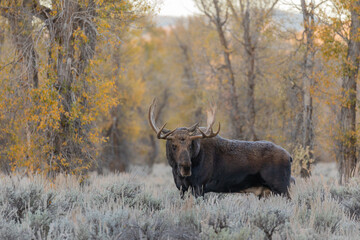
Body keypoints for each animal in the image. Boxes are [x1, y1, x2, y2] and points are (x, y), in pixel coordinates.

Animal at [148, 98, 292, 198]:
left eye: (190, 145)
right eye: (173, 146)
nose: (186, 167)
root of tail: (290, 157)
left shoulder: (199, 186)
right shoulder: (182, 189)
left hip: (281, 187)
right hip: (266, 192)